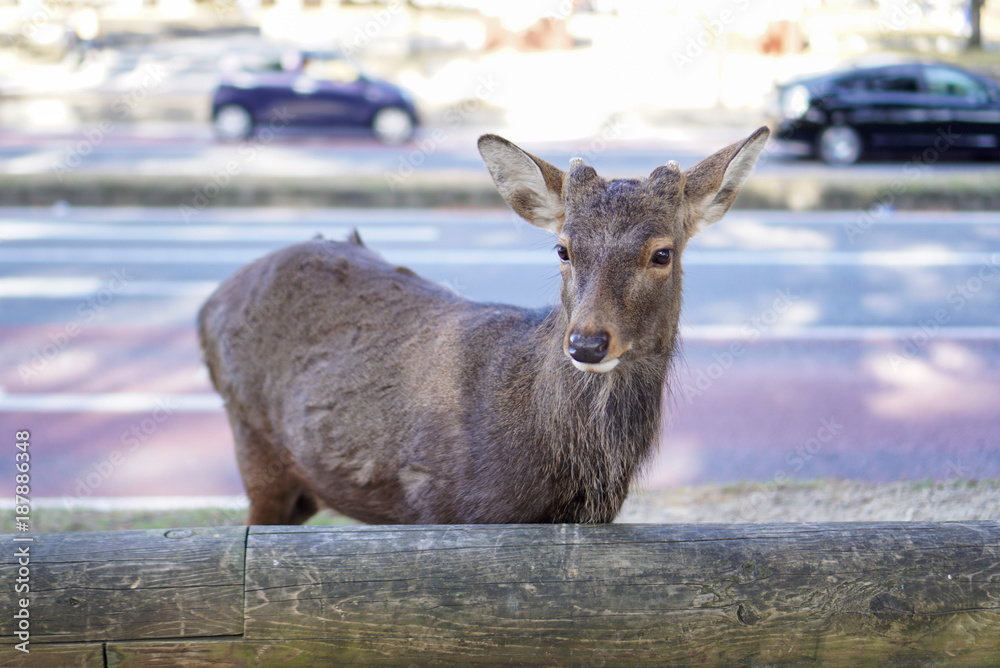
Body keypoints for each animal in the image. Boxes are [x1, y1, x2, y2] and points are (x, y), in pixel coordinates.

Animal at [198, 127, 770, 525]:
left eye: (662, 253)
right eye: (563, 248)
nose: (587, 342)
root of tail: (208, 305)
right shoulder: (442, 510)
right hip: (252, 443)